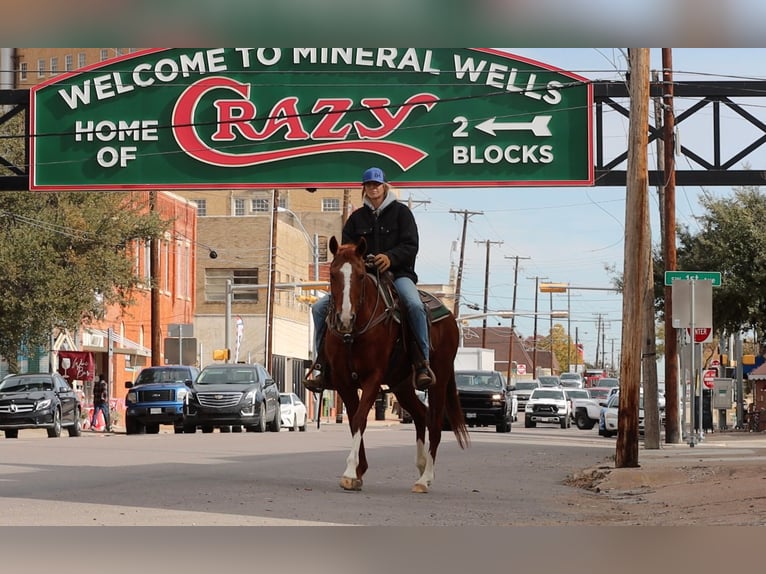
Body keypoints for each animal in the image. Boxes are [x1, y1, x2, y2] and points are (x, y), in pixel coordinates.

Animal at [322, 236, 468, 492]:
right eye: (332, 274)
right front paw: (359, 471)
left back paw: (425, 478)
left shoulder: (373, 377)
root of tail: (451, 318)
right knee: (420, 414)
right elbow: (353, 420)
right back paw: (421, 464)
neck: (354, 333)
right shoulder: (343, 380)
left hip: (438, 380)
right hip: (402, 385)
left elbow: (360, 418)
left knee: (435, 423)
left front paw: (350, 471)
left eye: (361, 275)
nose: (345, 318)